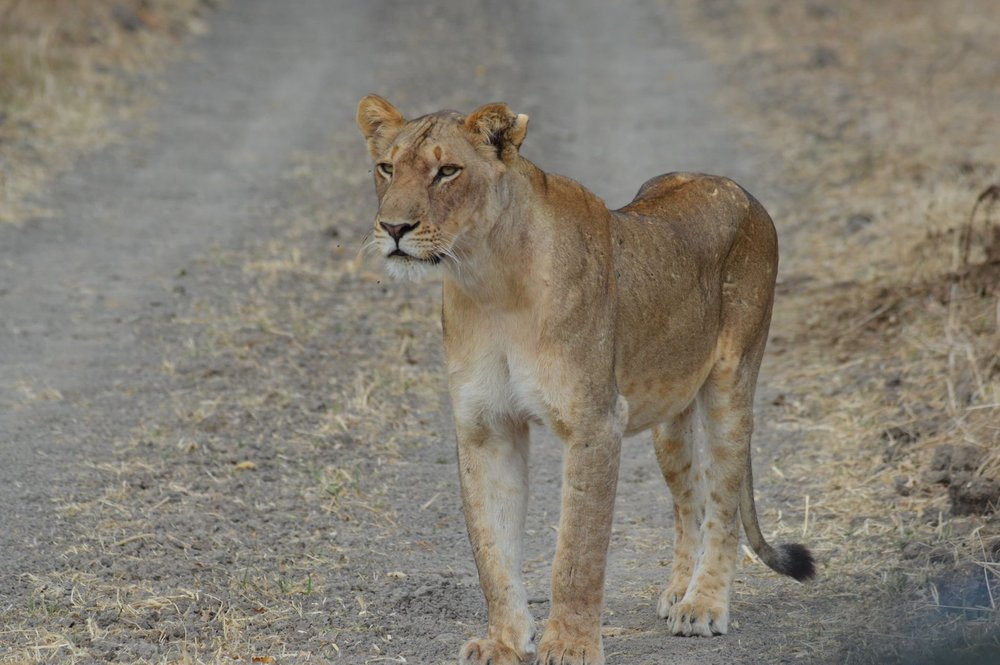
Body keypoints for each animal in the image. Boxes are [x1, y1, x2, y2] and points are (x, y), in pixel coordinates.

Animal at [355, 94, 814, 665]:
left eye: (447, 171)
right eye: (386, 167)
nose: (394, 228)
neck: (488, 279)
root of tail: (738, 189)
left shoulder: (595, 423)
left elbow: (577, 548)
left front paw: (569, 644)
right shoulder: (485, 425)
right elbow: (492, 547)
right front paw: (504, 641)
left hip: (731, 384)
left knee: (724, 502)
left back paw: (703, 604)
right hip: (669, 419)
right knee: (690, 499)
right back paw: (677, 591)